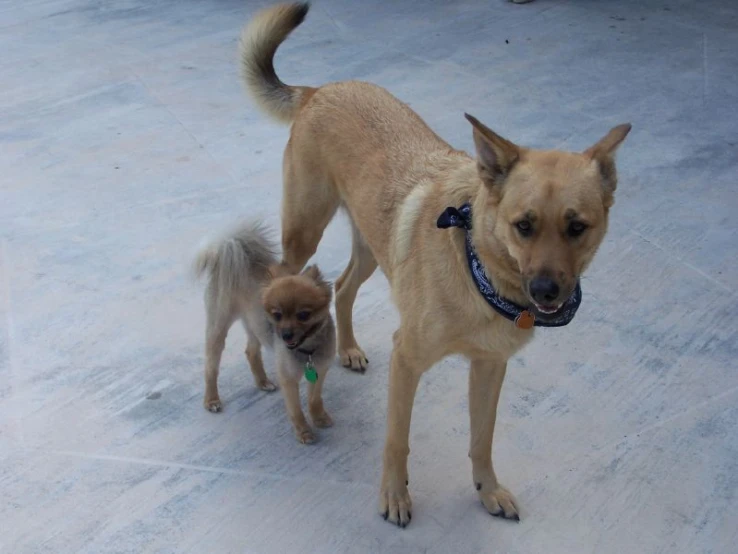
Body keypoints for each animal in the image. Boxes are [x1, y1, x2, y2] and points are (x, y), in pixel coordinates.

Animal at [194, 218, 334, 442]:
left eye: (304, 315)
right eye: (277, 315)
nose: (285, 335)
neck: (308, 349)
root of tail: (232, 250)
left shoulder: (320, 370)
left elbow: (314, 399)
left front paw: (319, 417)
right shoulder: (288, 379)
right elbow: (296, 410)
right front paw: (303, 431)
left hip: (255, 324)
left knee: (251, 351)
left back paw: (262, 382)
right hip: (218, 327)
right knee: (210, 368)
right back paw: (211, 399)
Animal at [239, 1, 628, 528]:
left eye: (577, 227)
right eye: (523, 225)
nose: (547, 292)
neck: (478, 270)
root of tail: (320, 90)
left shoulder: (489, 367)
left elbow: (481, 439)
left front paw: (488, 491)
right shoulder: (407, 360)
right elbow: (396, 441)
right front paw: (394, 497)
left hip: (372, 248)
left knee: (343, 286)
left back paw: (348, 348)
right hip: (304, 233)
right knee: (279, 282)